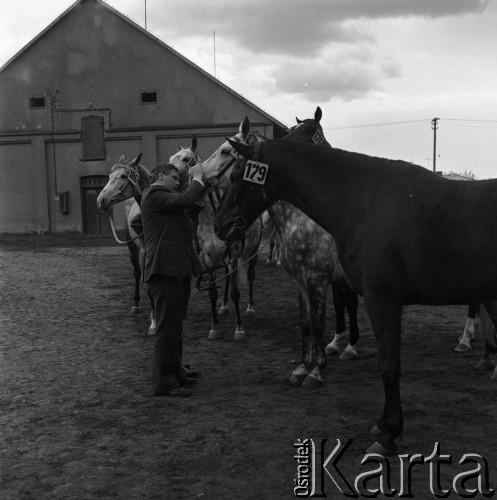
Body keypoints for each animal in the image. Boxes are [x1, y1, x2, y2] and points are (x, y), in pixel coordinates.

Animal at [214, 139, 497, 456]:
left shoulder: (380, 301)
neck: (363, 201)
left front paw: (389, 432)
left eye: (235, 175)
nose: (218, 224)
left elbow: (388, 367)